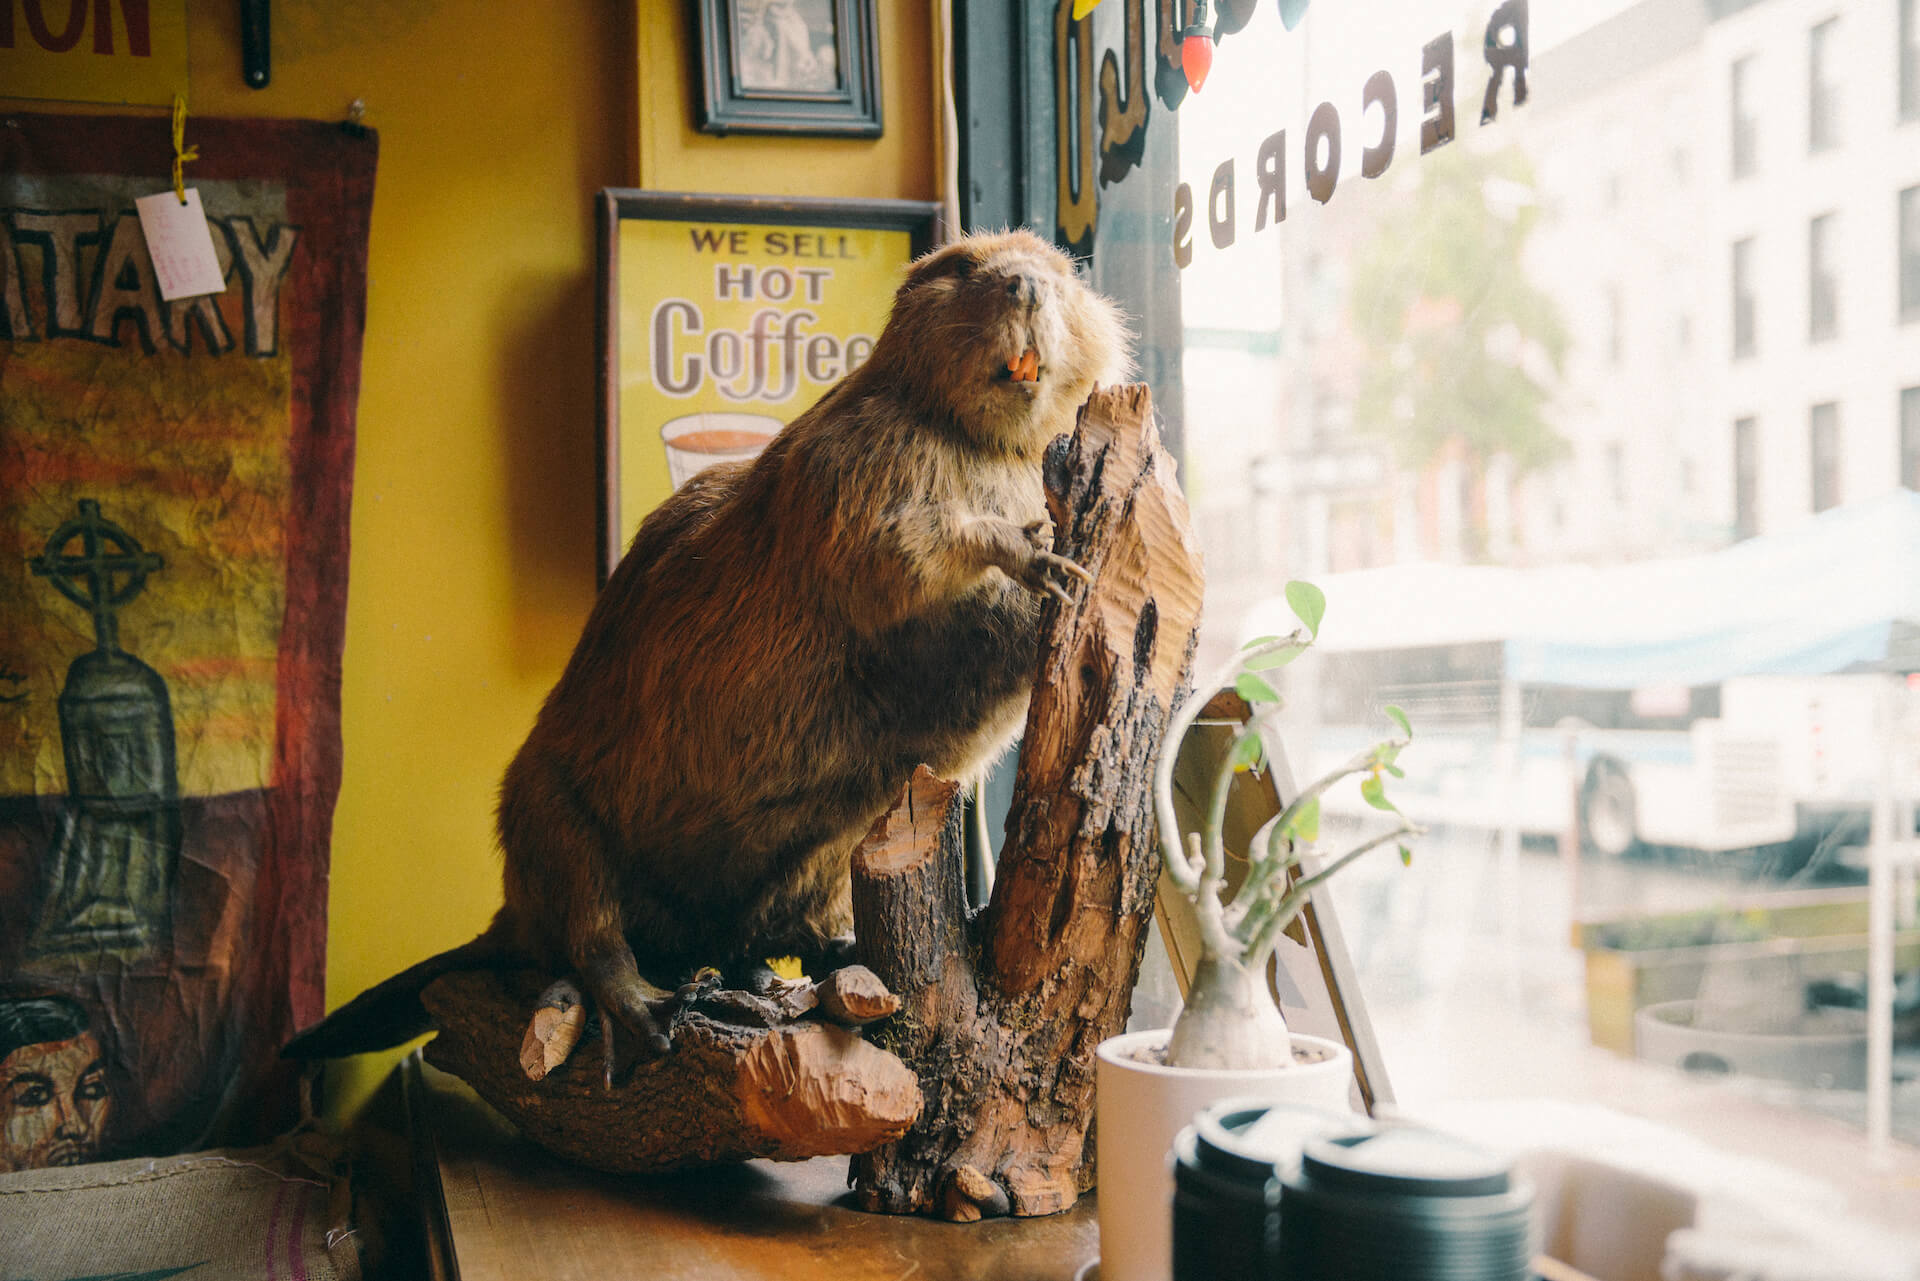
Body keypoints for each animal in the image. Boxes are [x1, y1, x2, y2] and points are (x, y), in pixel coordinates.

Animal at [280, 227, 1128, 1075]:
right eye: (960, 266)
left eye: (1061, 269)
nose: (1025, 284)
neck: (981, 446)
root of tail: (507, 922)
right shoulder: (845, 462)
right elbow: (895, 546)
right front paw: (1033, 552)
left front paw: (1062, 579)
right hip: (549, 806)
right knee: (592, 929)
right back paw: (655, 1006)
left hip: (827, 843)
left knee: (763, 928)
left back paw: (801, 962)